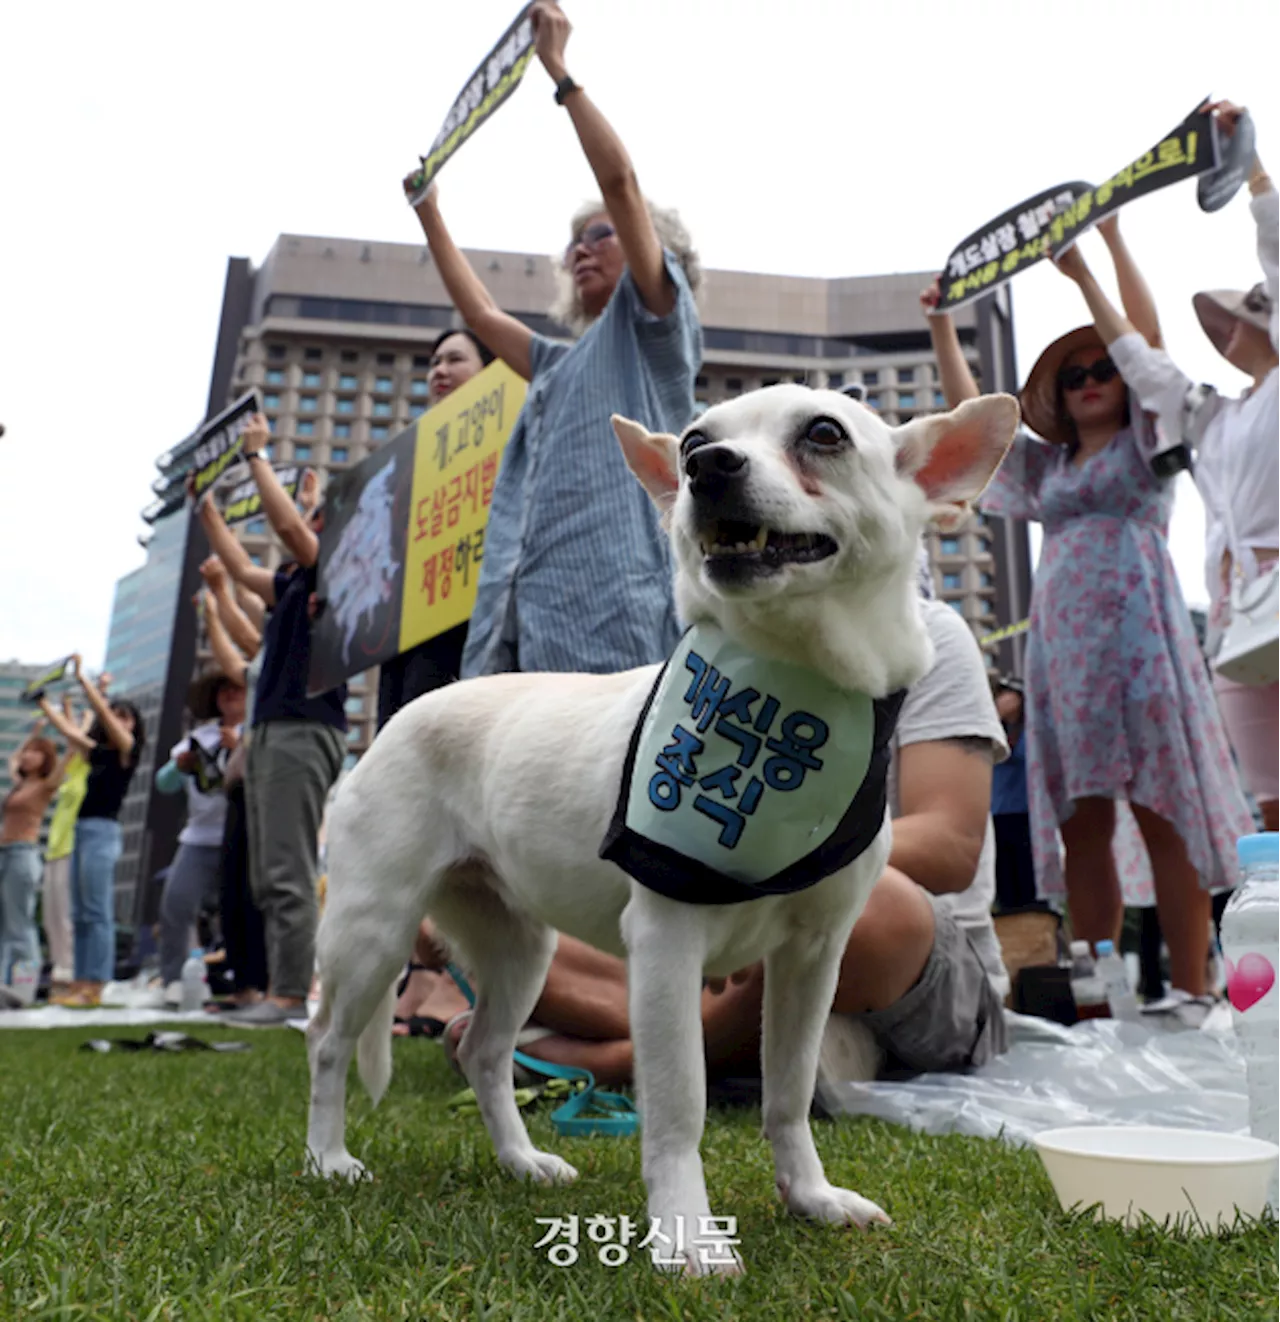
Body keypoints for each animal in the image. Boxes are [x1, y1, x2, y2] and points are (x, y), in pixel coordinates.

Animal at [305, 386, 1015, 1274]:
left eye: (825, 433)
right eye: (691, 440)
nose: (706, 467)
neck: (791, 695)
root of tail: (390, 726)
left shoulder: (814, 957)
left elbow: (788, 1092)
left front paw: (811, 1197)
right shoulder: (667, 950)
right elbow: (680, 1105)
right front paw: (685, 1231)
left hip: (518, 948)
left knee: (483, 1052)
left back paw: (521, 1161)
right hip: (374, 931)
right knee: (328, 1042)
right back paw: (329, 1158)